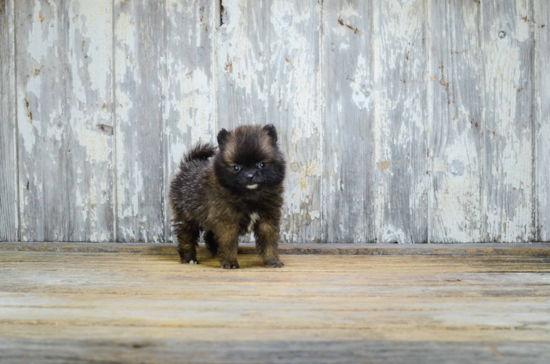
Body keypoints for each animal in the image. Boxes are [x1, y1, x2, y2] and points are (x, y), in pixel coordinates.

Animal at [170, 123, 286, 268]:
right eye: (236, 167)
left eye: (261, 164)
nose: (250, 176)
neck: (250, 194)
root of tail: (188, 164)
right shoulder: (227, 220)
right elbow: (228, 243)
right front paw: (230, 262)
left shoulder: (267, 219)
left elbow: (269, 242)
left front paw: (272, 260)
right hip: (188, 217)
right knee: (185, 236)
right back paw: (189, 258)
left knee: (209, 235)